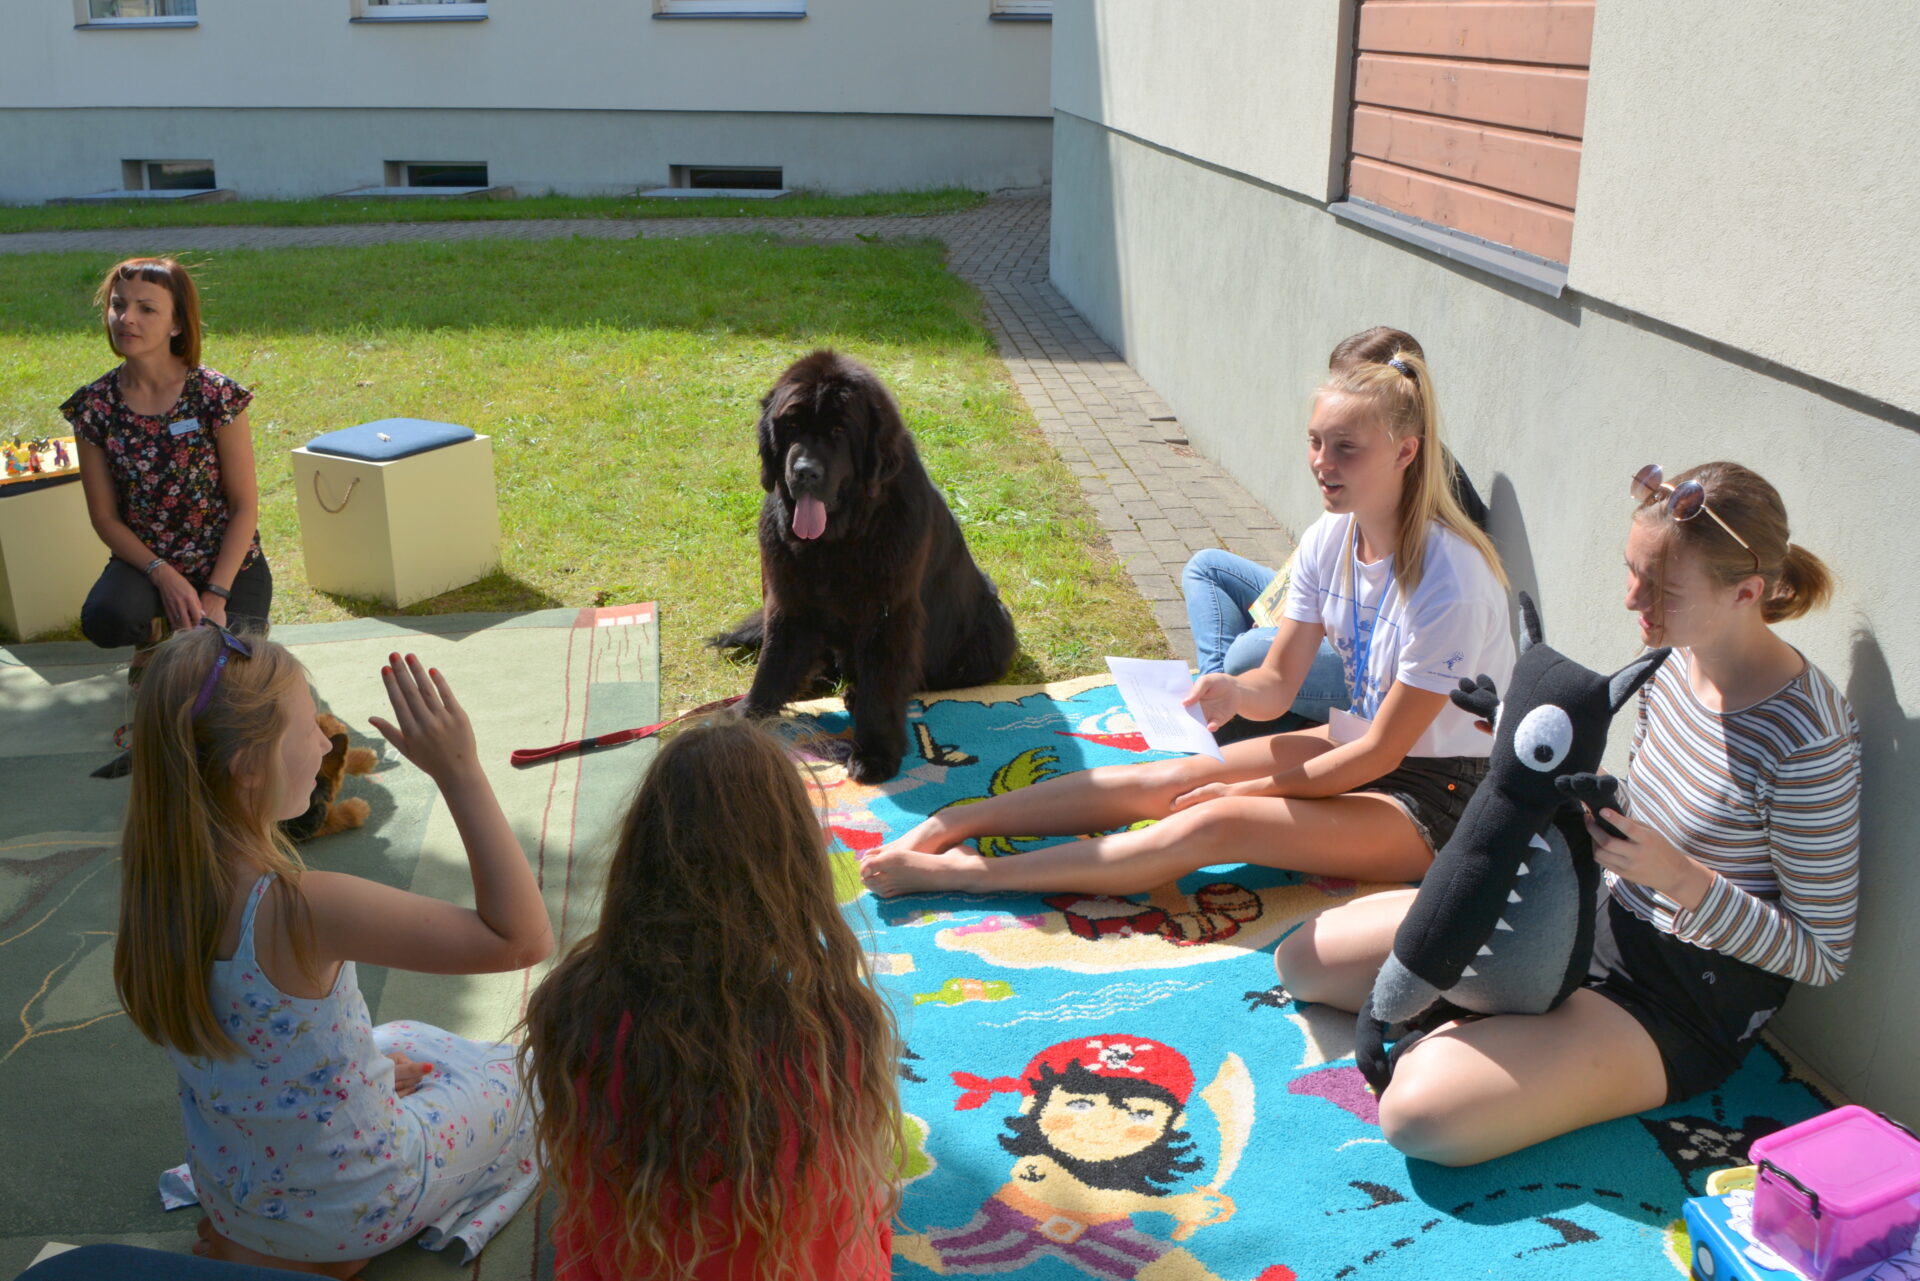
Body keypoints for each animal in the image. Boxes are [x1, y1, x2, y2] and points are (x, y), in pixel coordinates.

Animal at [714, 351, 1021, 783]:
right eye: (791, 426)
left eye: (840, 429)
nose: (804, 471)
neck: (838, 541)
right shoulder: (788, 600)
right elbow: (773, 661)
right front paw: (746, 716)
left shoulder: (889, 612)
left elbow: (883, 683)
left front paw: (875, 752)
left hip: (990, 635)